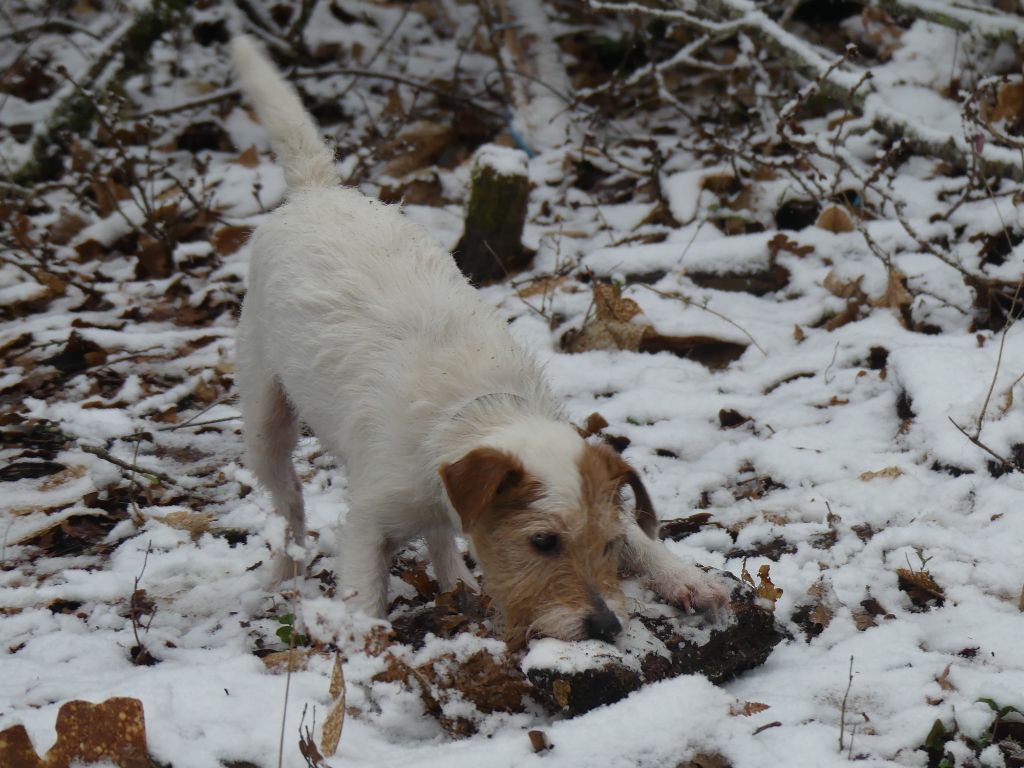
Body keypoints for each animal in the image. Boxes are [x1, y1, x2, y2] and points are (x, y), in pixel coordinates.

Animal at [230, 36, 728, 647]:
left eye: (608, 545)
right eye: (543, 541)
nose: (605, 627)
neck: (471, 411)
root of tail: (317, 191)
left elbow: (642, 536)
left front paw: (685, 577)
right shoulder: (369, 521)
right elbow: (364, 593)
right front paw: (367, 650)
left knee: (437, 537)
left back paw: (456, 580)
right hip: (265, 418)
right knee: (290, 503)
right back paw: (285, 570)